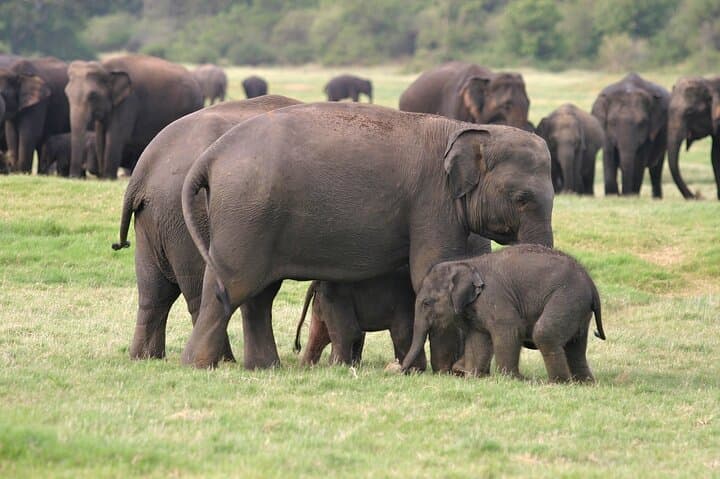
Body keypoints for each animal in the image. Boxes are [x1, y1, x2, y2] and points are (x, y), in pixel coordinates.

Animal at [65, 54, 204, 179]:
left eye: (92, 96)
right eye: (67, 93)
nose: (73, 177)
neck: (106, 68)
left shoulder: (129, 102)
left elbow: (115, 136)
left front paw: (108, 178)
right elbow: (100, 136)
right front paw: (103, 177)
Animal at [112, 95, 302, 360]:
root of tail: (144, 170)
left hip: (154, 220)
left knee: (154, 293)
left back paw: (146, 357)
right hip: (187, 222)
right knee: (202, 292)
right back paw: (223, 361)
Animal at [180, 103, 554, 369]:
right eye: (522, 199)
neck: (463, 129)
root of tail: (210, 156)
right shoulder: (432, 202)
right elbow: (430, 269)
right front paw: (445, 371)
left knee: (258, 294)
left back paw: (263, 367)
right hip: (245, 216)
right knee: (232, 286)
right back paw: (198, 365)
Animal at [401, 244, 606, 383]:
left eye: (427, 303)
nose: (399, 371)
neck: (468, 263)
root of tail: (591, 284)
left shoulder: (495, 297)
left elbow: (509, 329)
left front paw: (512, 379)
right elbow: (478, 338)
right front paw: (474, 376)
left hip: (567, 296)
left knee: (545, 334)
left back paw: (556, 383)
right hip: (577, 306)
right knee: (576, 344)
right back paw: (583, 384)